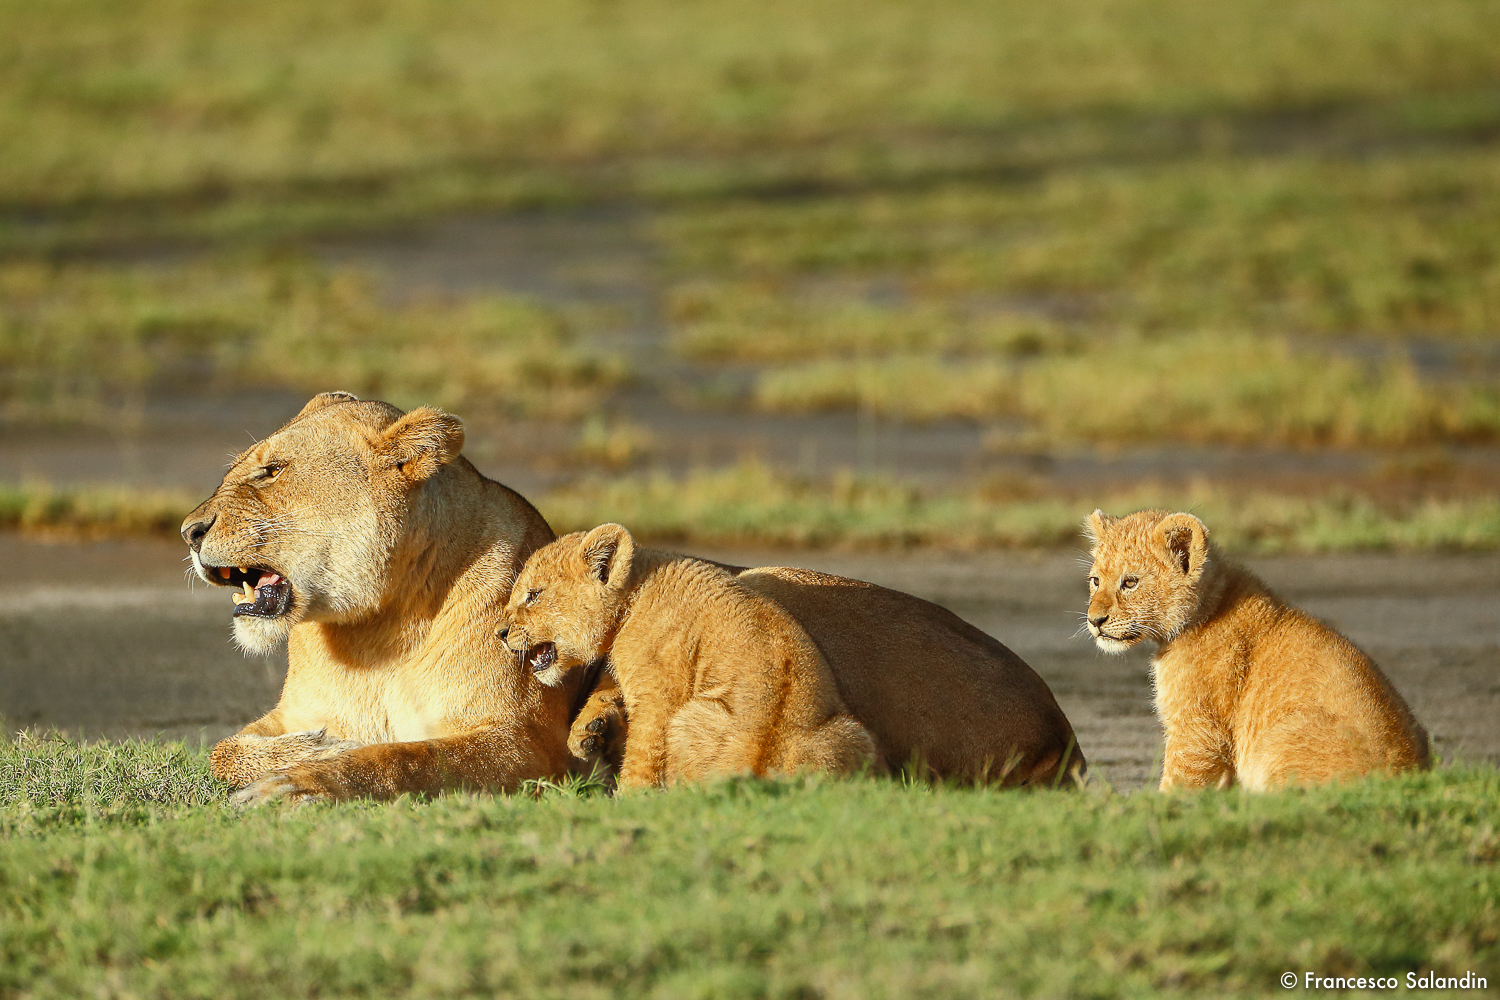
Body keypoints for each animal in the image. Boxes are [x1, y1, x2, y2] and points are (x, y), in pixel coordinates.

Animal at [500, 524, 880, 787]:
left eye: (533, 595)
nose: (499, 633)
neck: (633, 595)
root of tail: (761, 768)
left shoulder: (660, 694)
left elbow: (643, 753)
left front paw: (630, 800)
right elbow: (607, 684)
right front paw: (587, 731)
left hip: (690, 716)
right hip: (851, 733)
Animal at [1083, 508, 1430, 791]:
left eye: (1130, 582)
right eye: (1095, 580)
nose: (1094, 621)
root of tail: (1409, 775)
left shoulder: (1198, 731)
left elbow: (1178, 787)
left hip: (1276, 743)